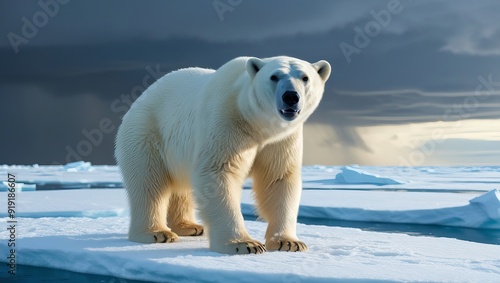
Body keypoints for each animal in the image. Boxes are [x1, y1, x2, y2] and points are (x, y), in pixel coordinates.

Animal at [115, 55, 330, 255]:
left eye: (305, 77)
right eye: (274, 76)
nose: (291, 96)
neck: (255, 123)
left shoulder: (281, 140)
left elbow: (278, 178)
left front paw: (288, 242)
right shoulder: (226, 122)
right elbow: (217, 173)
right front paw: (244, 244)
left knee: (180, 186)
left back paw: (190, 226)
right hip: (147, 132)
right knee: (149, 183)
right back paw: (157, 233)